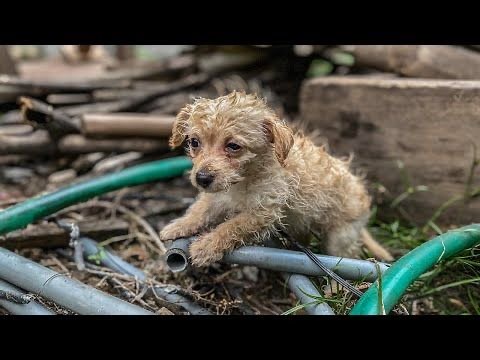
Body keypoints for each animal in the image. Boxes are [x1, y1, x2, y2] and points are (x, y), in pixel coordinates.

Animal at [159, 90, 392, 264]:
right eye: (194, 142)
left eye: (233, 146)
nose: (202, 178)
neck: (243, 181)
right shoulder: (218, 196)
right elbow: (200, 209)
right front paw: (179, 225)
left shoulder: (262, 211)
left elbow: (230, 227)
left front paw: (206, 246)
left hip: (341, 236)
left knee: (343, 257)